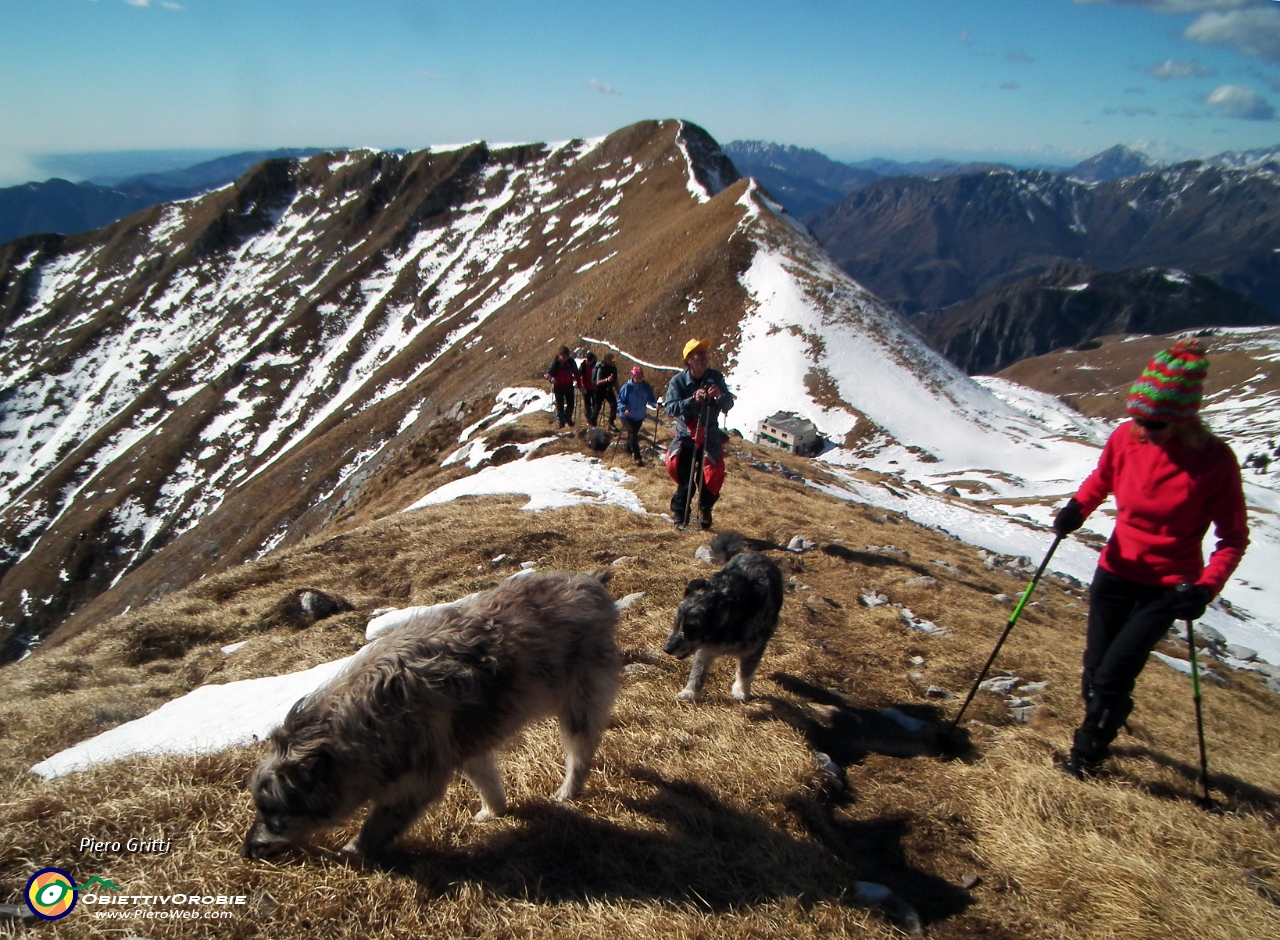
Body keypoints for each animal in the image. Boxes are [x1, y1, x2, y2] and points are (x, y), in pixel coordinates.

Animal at [241, 571, 622, 865]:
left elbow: (378, 824)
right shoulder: (464, 750)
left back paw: (567, 791)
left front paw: (352, 852)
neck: (358, 727)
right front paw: (492, 813)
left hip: (579, 705)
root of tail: (592, 584)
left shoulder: (417, 782)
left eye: (271, 810)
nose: (246, 850)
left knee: (580, 753)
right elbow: (487, 784)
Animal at [665, 532, 783, 701]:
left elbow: (745, 671)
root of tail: (753, 553)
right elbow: (698, 670)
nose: (666, 649)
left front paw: (741, 691)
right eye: (676, 622)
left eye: (692, 628)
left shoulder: (755, 648)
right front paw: (690, 692)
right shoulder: (705, 649)